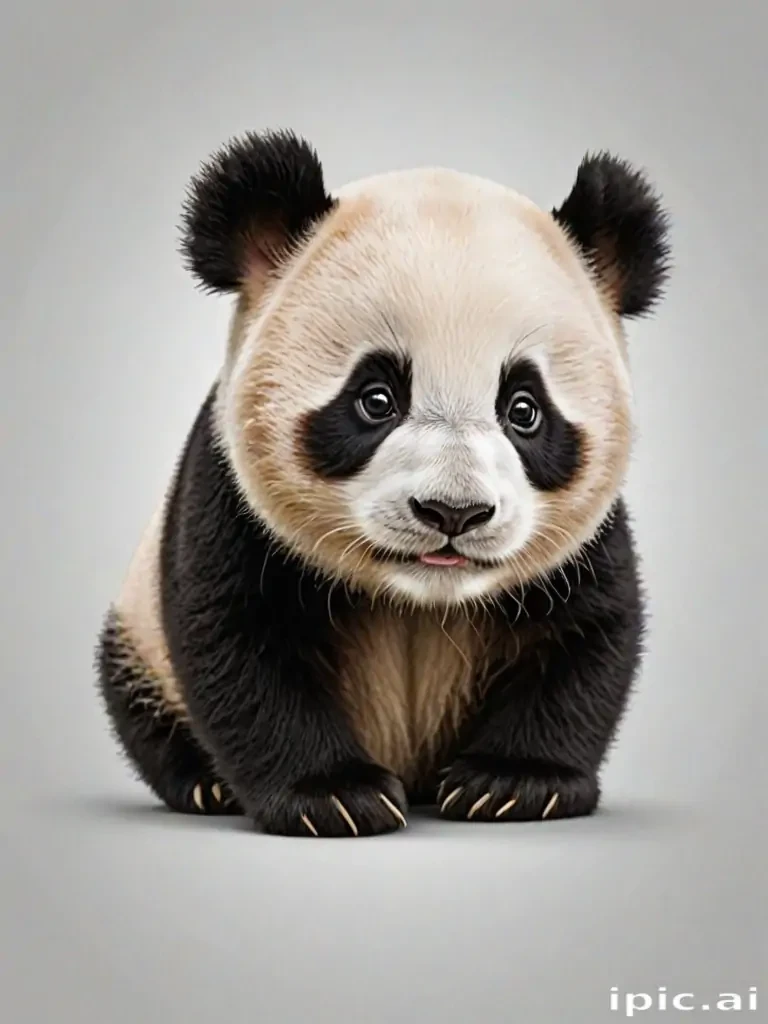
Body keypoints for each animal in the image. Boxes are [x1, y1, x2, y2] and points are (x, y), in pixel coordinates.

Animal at [97, 129, 670, 838]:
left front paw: (512, 784)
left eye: (524, 409)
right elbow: (234, 639)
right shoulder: (228, 495)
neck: (420, 598)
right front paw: (334, 796)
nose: (453, 513)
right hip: (137, 630)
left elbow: (587, 636)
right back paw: (204, 785)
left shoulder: (583, 547)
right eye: (376, 399)